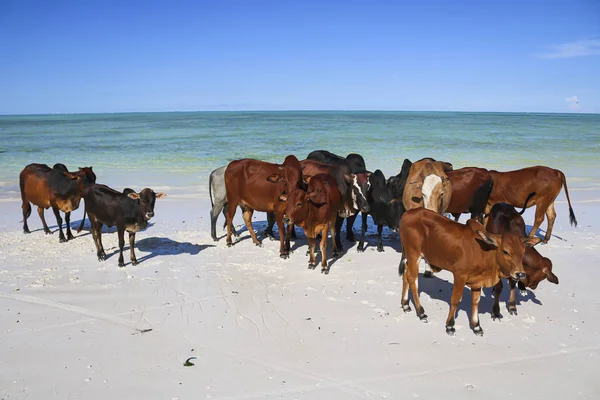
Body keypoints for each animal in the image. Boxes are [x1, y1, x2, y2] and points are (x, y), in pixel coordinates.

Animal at [398, 208, 540, 336]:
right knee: (413, 280)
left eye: (523, 251)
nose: (520, 274)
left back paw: (405, 305)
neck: (485, 252)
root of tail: (407, 213)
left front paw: (476, 326)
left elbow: (476, 302)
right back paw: (421, 312)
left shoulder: (477, 281)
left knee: (405, 275)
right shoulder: (460, 275)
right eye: (505, 251)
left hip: (409, 256)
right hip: (414, 254)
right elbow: (456, 300)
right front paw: (450, 326)